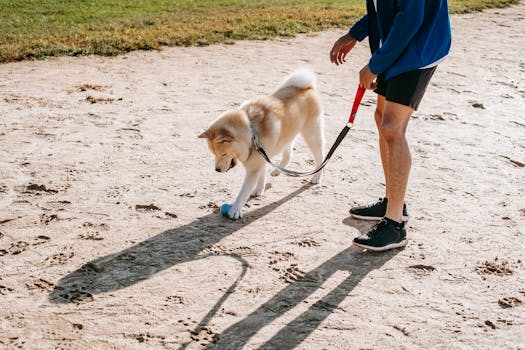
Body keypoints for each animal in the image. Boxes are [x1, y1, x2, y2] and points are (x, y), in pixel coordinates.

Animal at [199, 69, 324, 219]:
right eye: (214, 154)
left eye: (223, 154)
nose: (217, 170)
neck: (251, 132)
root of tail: (308, 87)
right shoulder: (262, 156)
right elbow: (262, 176)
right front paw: (259, 189)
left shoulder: (254, 168)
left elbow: (244, 192)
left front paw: (235, 209)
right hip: (286, 136)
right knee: (289, 153)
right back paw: (277, 170)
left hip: (311, 135)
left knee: (320, 157)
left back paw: (316, 177)